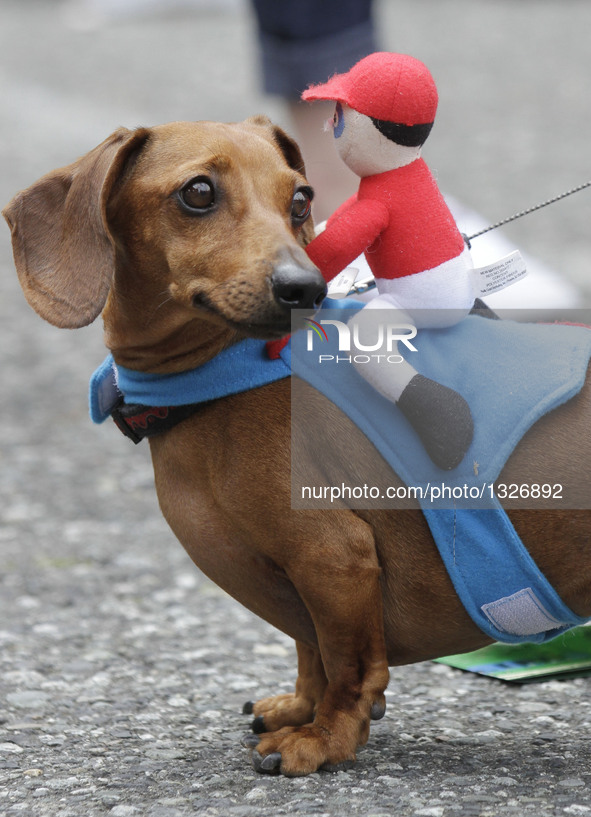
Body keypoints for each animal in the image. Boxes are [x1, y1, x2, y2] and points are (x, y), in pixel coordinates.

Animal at [3, 116, 591, 776]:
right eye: (198, 192)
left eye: (301, 199)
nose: (306, 288)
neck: (225, 376)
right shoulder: (306, 580)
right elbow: (311, 648)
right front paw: (300, 708)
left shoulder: (335, 558)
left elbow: (348, 665)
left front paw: (324, 739)